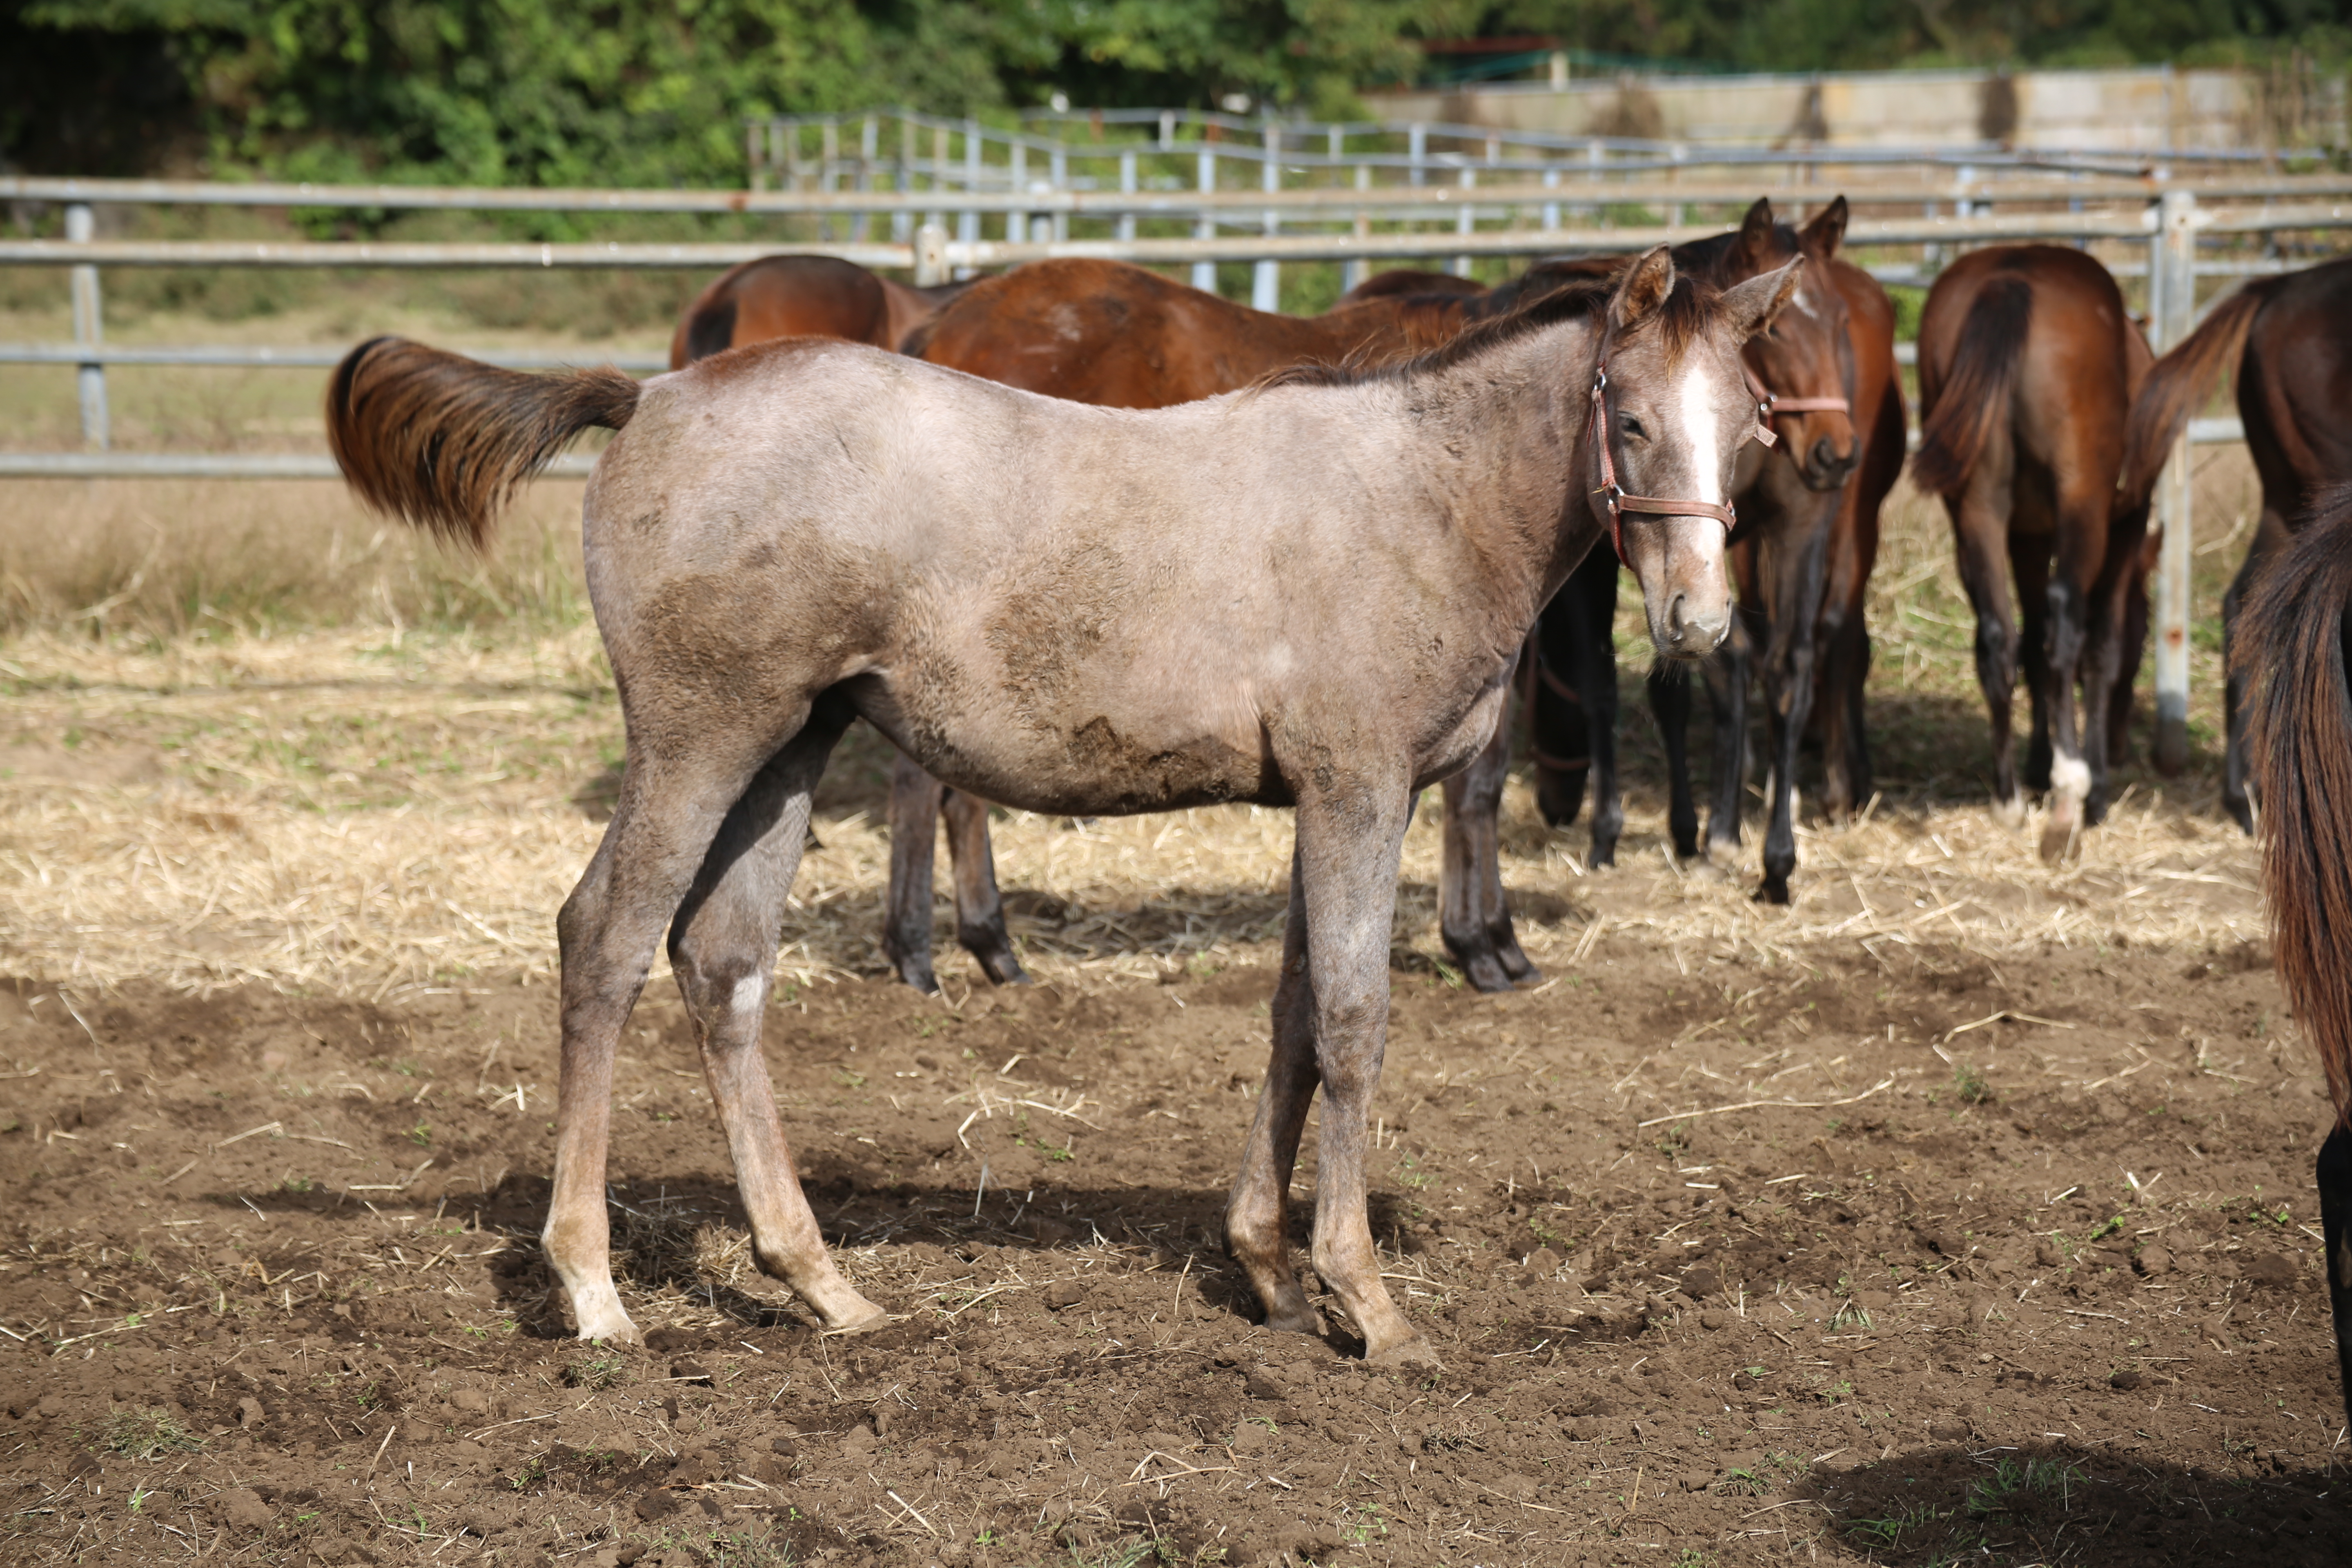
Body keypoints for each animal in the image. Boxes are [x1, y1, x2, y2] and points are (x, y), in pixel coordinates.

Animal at [1910, 243, 2154, 860]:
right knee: (2066, 626)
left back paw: (2008, 799)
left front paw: (2038, 766)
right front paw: (2090, 785)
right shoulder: (2125, 526)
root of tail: (2012, 277)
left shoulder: (2026, 536)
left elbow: (2031, 647)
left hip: (1977, 510)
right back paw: (2070, 794)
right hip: (2084, 505)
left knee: (1998, 637)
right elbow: (2100, 649)